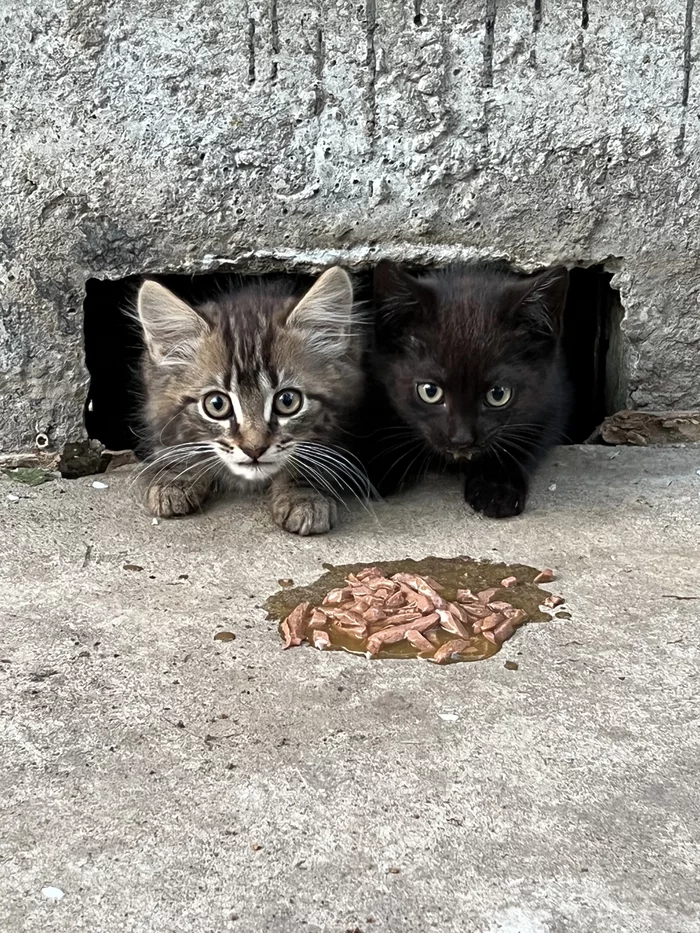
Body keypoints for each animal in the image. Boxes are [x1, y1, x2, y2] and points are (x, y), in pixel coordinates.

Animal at [370, 262, 572, 516]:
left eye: (498, 394)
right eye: (430, 391)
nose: (461, 440)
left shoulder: (554, 395)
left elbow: (526, 438)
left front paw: (497, 487)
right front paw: (380, 465)